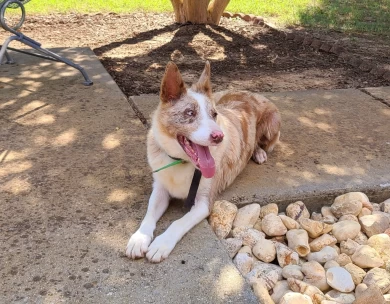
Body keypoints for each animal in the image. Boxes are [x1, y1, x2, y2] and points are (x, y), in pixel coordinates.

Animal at [125, 61, 280, 262]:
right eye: (190, 113)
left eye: (214, 115)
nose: (219, 136)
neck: (180, 162)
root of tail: (248, 91)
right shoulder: (160, 189)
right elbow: (149, 214)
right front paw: (139, 238)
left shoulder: (203, 203)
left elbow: (178, 222)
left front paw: (161, 243)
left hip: (272, 124)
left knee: (262, 143)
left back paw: (259, 153)